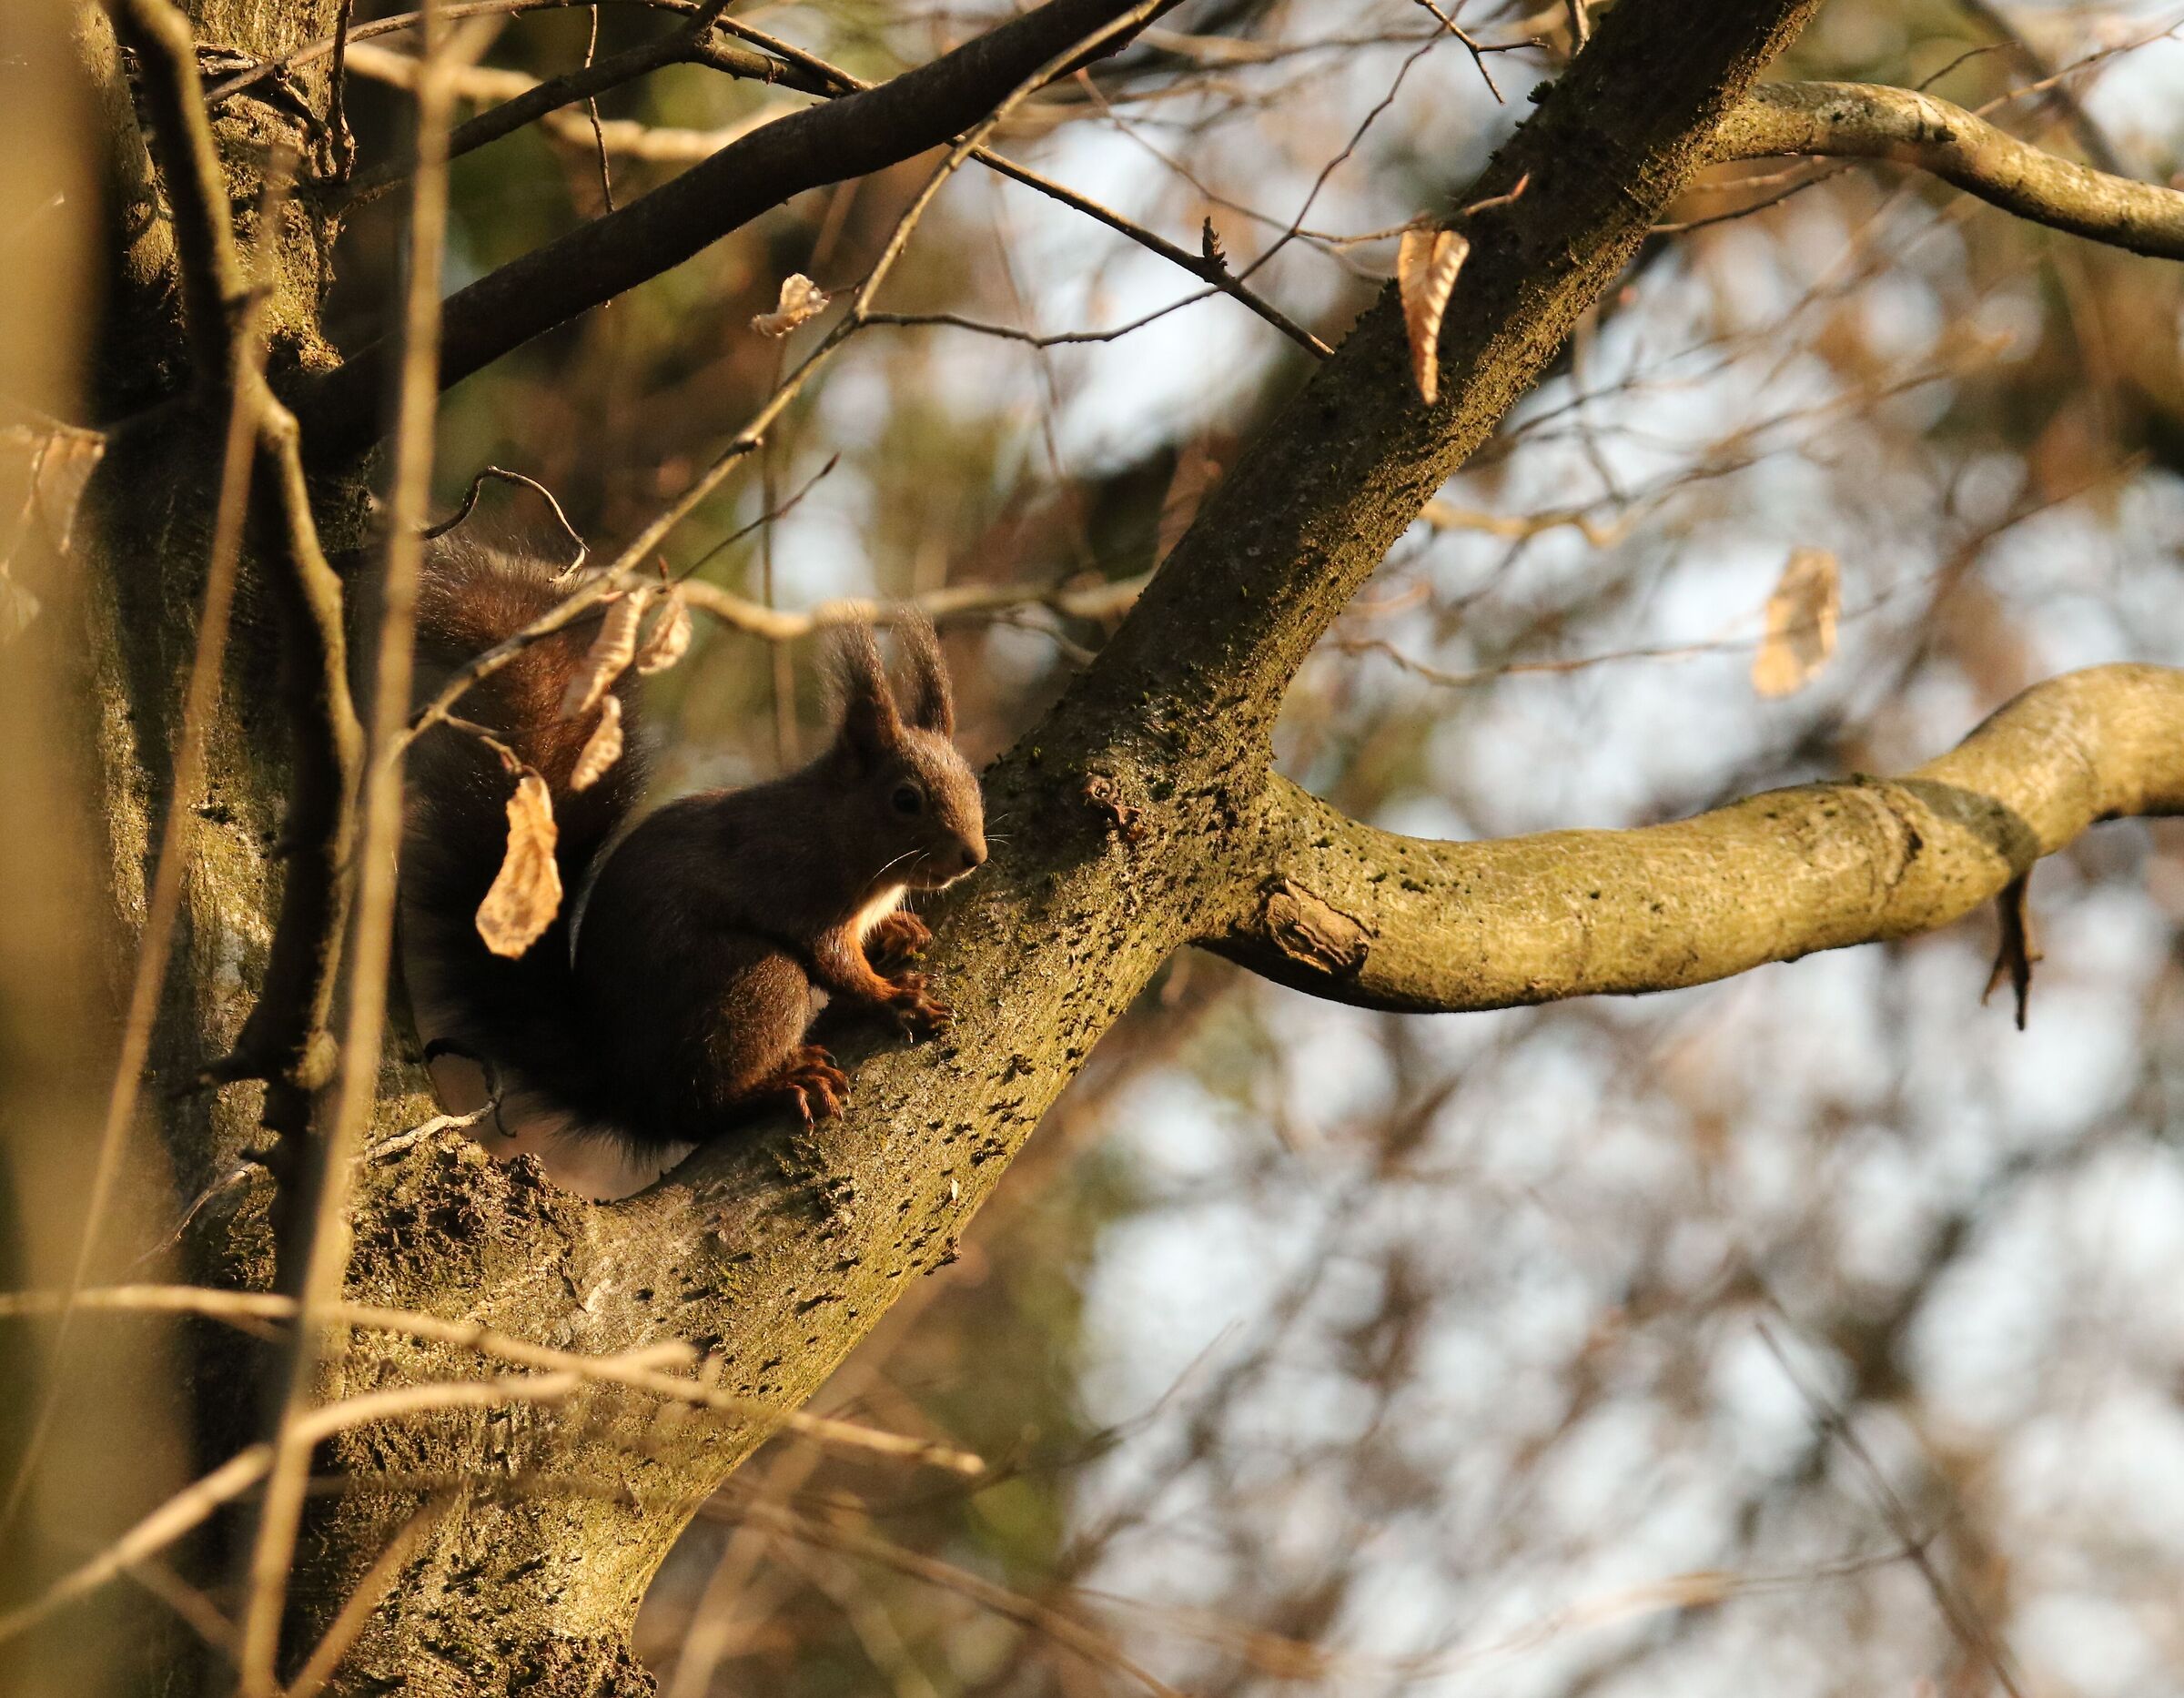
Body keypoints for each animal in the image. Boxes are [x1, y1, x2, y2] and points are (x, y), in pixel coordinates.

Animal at [397, 540, 987, 1190]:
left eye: (973, 781)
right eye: (905, 799)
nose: (975, 856)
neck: (836, 825)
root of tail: (629, 1095)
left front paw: (900, 929)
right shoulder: (797, 884)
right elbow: (837, 965)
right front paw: (894, 996)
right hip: (755, 985)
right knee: (708, 1105)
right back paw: (781, 1083)